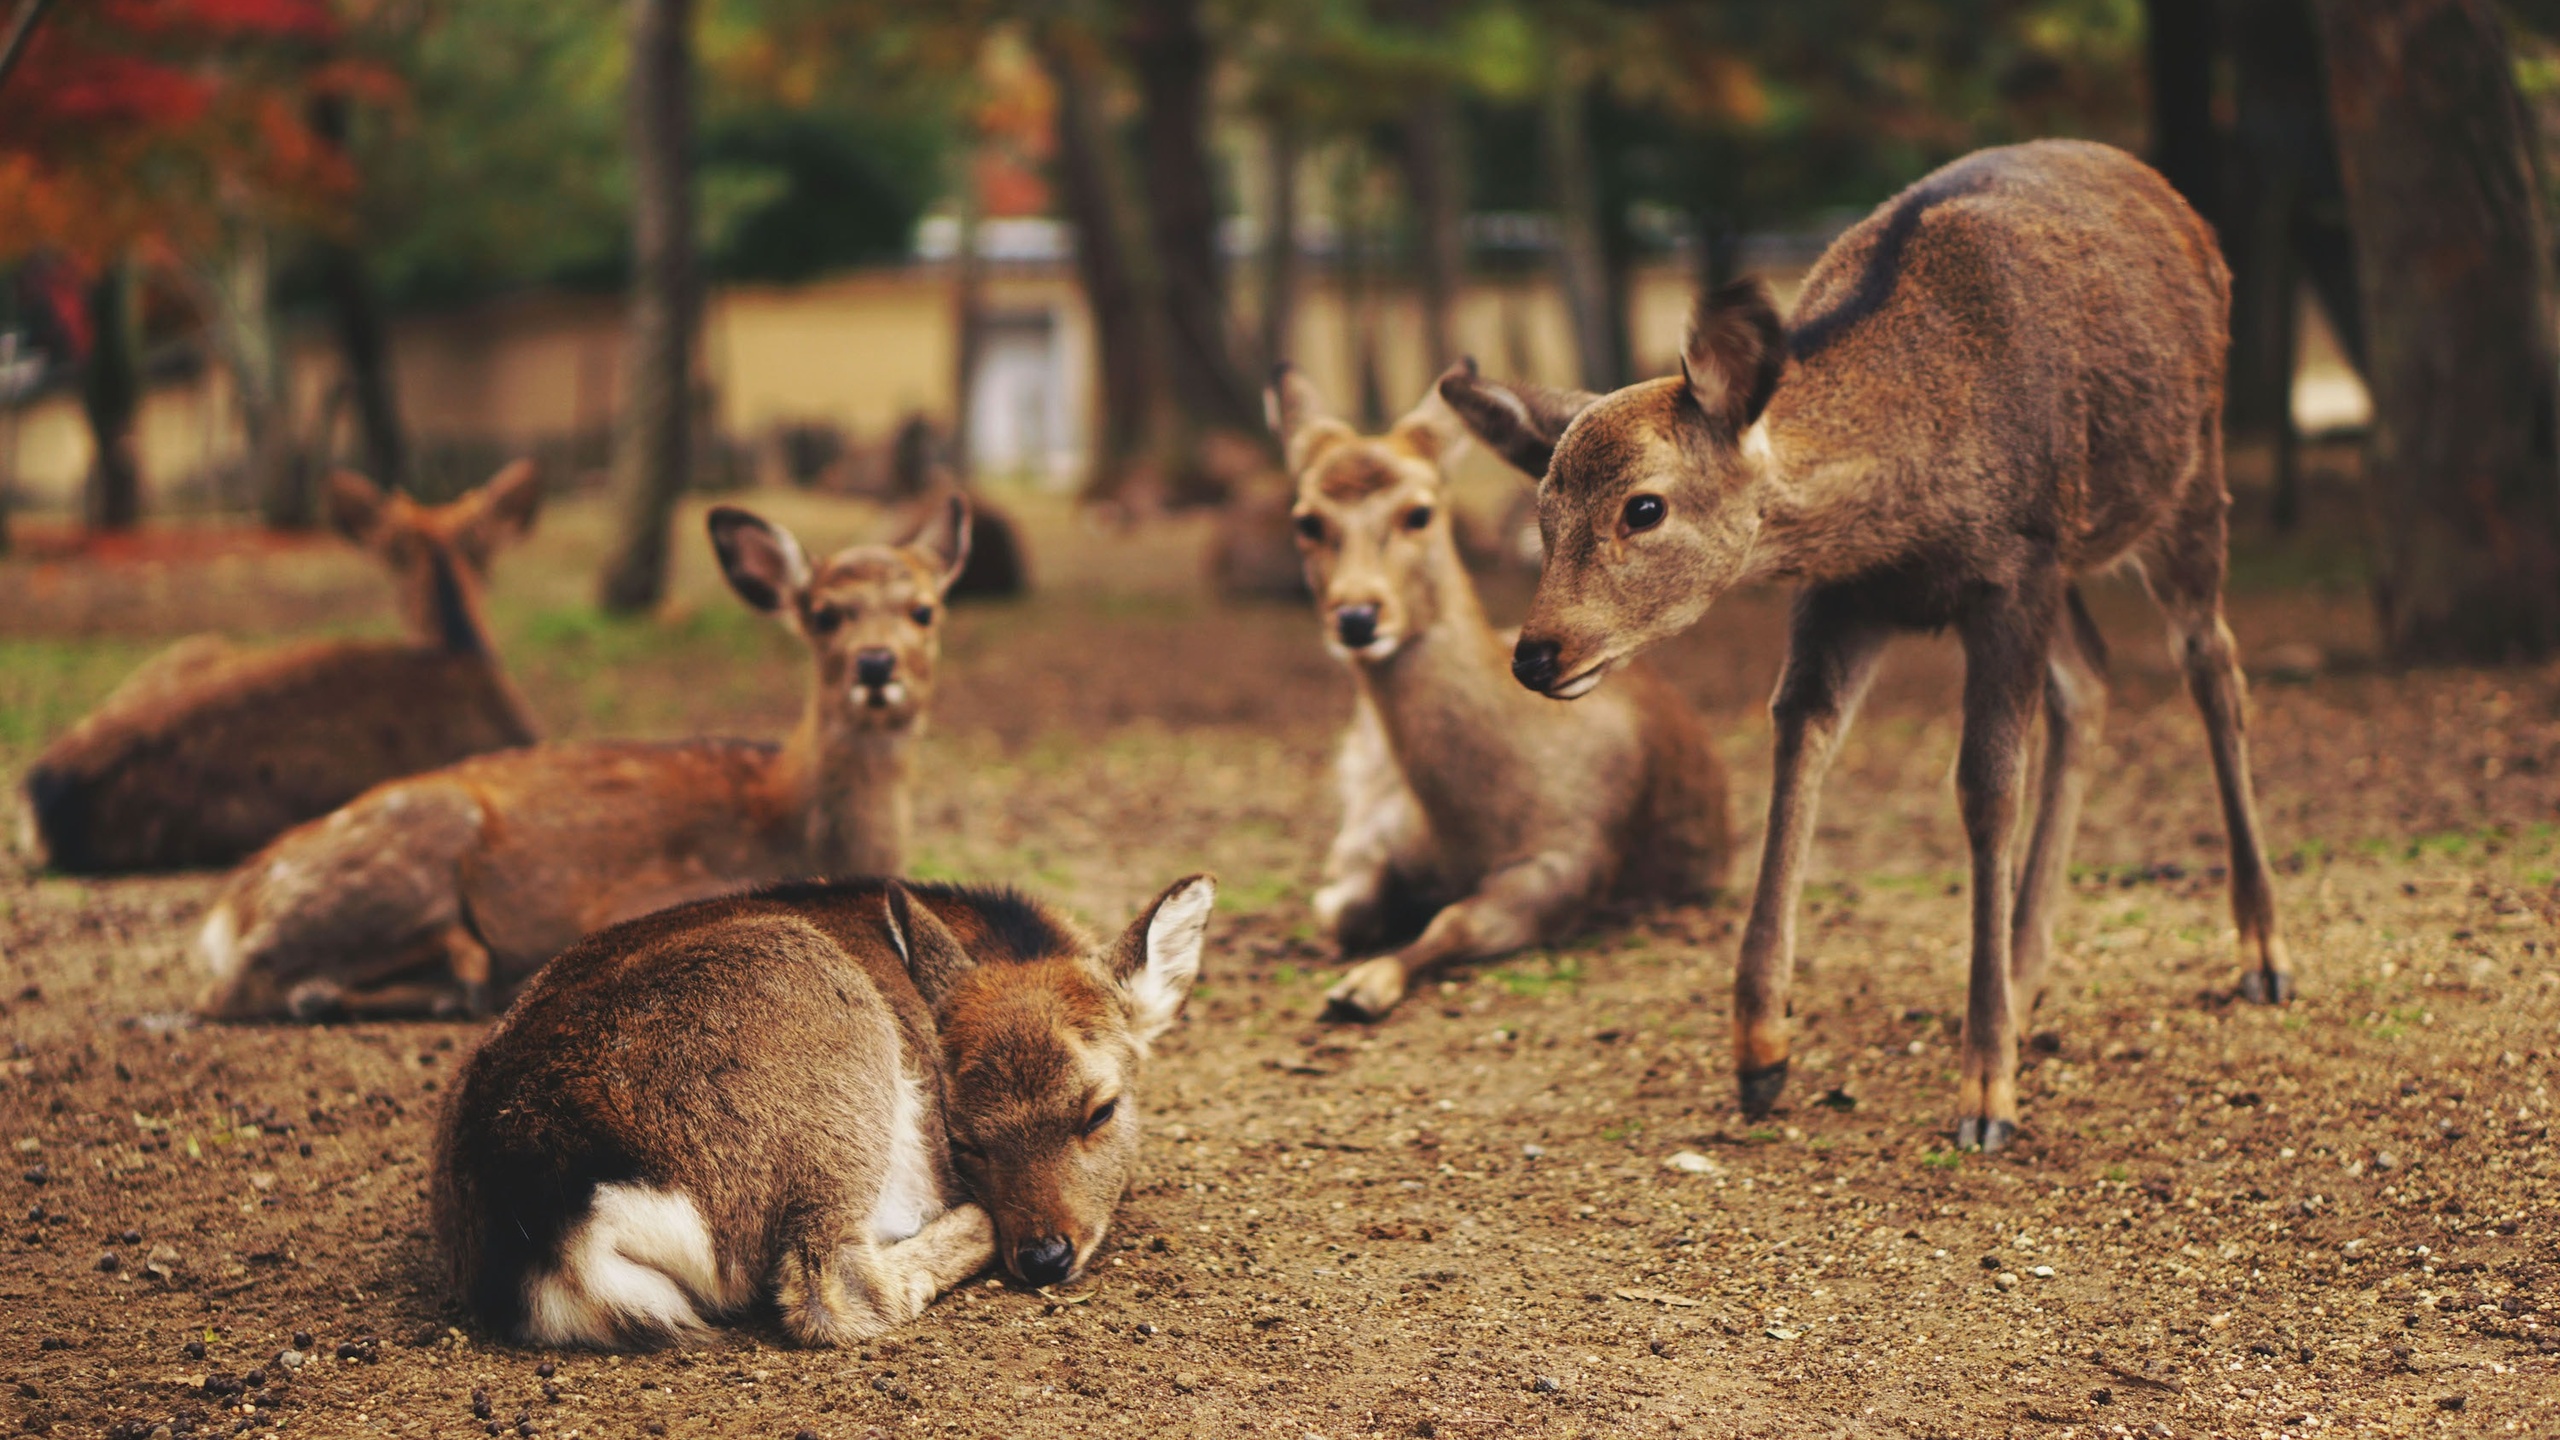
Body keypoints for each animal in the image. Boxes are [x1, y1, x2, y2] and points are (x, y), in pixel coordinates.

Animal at [192, 497, 967, 1019]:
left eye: (925, 609)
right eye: (825, 613)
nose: (876, 663)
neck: (795, 820)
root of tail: (226, 910)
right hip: (404, 855)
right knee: (238, 989)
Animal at [1269, 368, 1730, 1019]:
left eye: (1420, 512)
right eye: (1306, 519)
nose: (1357, 616)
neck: (1465, 829)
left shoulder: (1571, 860)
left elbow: (1455, 922)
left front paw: (1362, 987)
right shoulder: (1369, 829)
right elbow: (1344, 907)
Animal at [1443, 131, 2304, 1142]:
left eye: (1643, 507)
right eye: (1541, 513)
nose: (1537, 652)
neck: (1904, 512)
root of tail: (2173, 201)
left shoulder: (2013, 568)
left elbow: (1985, 788)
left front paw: (1986, 1091)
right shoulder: (1847, 594)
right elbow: (1798, 741)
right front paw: (1761, 1052)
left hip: (2188, 477)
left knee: (2213, 665)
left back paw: (2262, 952)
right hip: (2072, 565)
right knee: (2091, 679)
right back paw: (2026, 970)